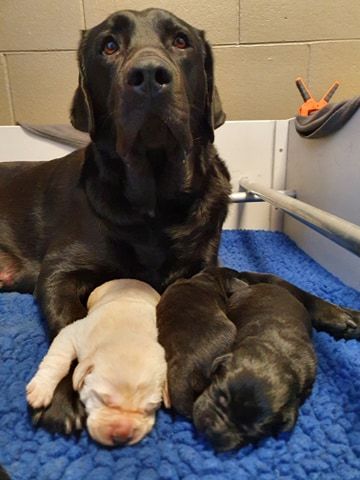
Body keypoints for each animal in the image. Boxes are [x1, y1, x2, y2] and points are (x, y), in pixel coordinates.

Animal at [26, 278, 169, 446]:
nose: (122, 437)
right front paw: (41, 390)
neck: (126, 334)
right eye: (103, 399)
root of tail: (132, 280)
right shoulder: (73, 333)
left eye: (149, 409)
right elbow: (58, 360)